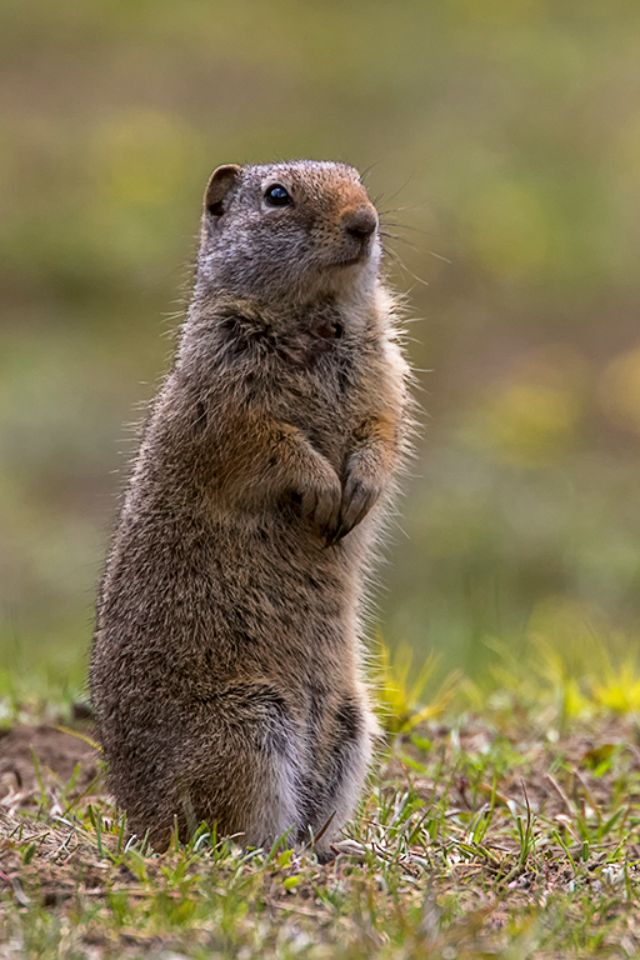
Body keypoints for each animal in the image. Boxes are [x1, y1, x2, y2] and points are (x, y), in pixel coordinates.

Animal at [90, 160, 411, 856]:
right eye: (277, 196)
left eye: (357, 178)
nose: (365, 221)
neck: (314, 318)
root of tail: (138, 821)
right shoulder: (226, 387)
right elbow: (267, 442)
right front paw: (323, 491)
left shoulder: (385, 368)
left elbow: (383, 427)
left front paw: (360, 490)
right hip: (250, 730)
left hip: (351, 728)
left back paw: (332, 848)